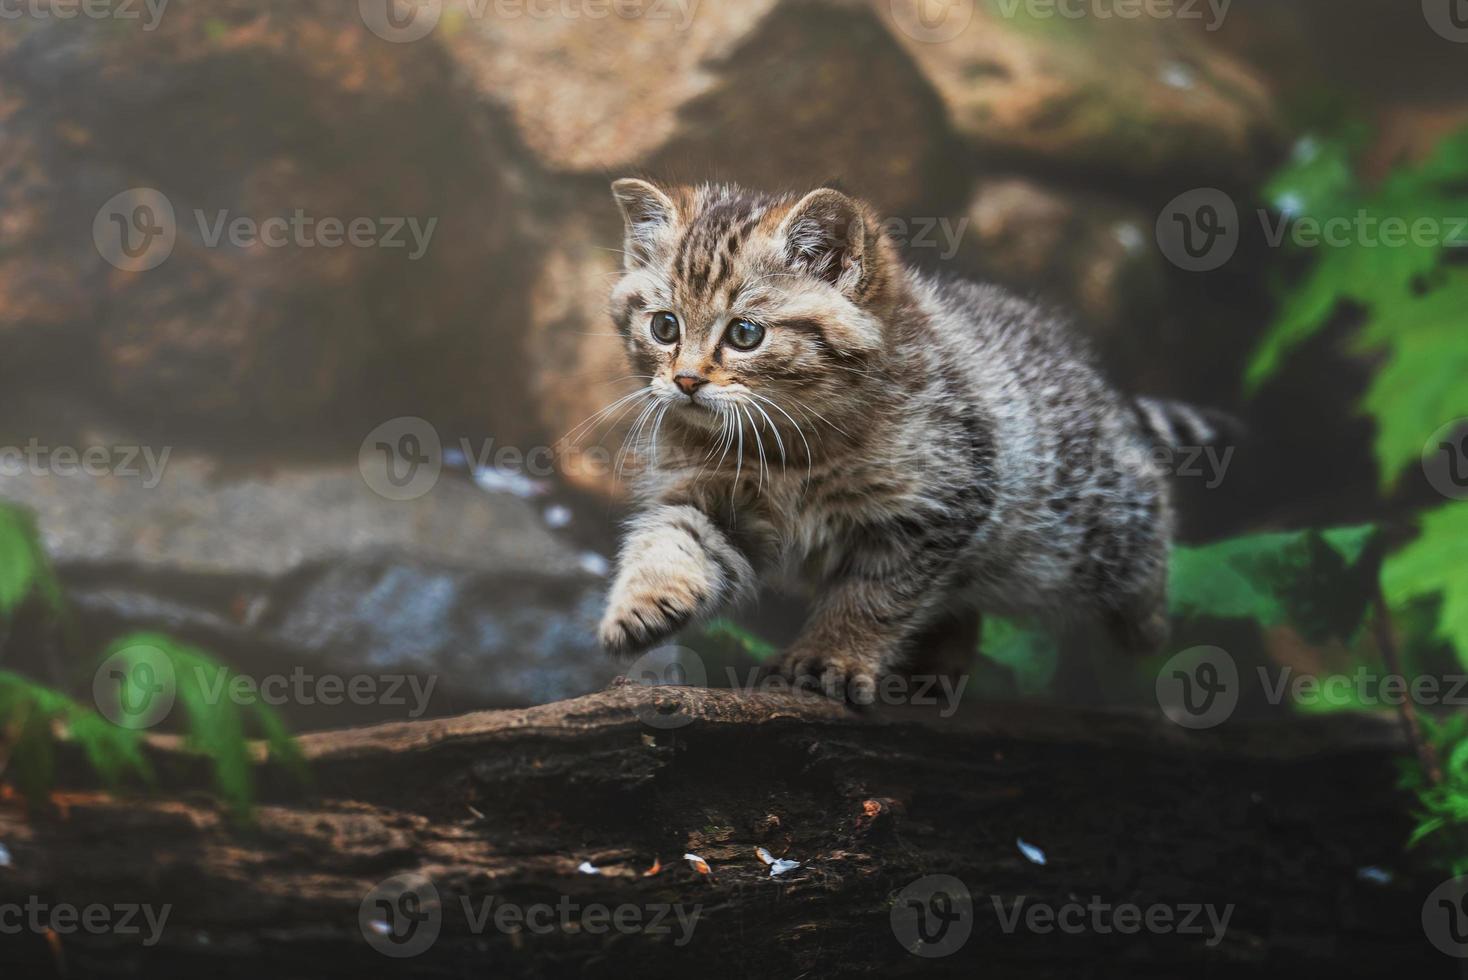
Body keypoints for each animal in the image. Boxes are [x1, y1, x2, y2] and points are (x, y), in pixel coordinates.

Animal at [590, 179, 1221, 701]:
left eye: (745, 333)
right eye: (664, 326)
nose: (685, 381)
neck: (788, 445)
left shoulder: (936, 504)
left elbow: (872, 597)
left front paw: (830, 657)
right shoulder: (711, 495)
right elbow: (676, 537)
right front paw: (643, 601)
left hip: (1080, 514)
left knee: (1144, 501)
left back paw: (1147, 618)